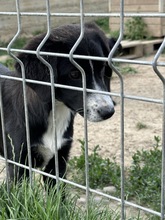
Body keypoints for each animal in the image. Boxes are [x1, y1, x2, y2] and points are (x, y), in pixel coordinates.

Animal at [0, 22, 116, 189]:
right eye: (74, 74)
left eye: (102, 69)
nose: (109, 111)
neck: (55, 111)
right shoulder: (18, 165)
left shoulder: (59, 162)